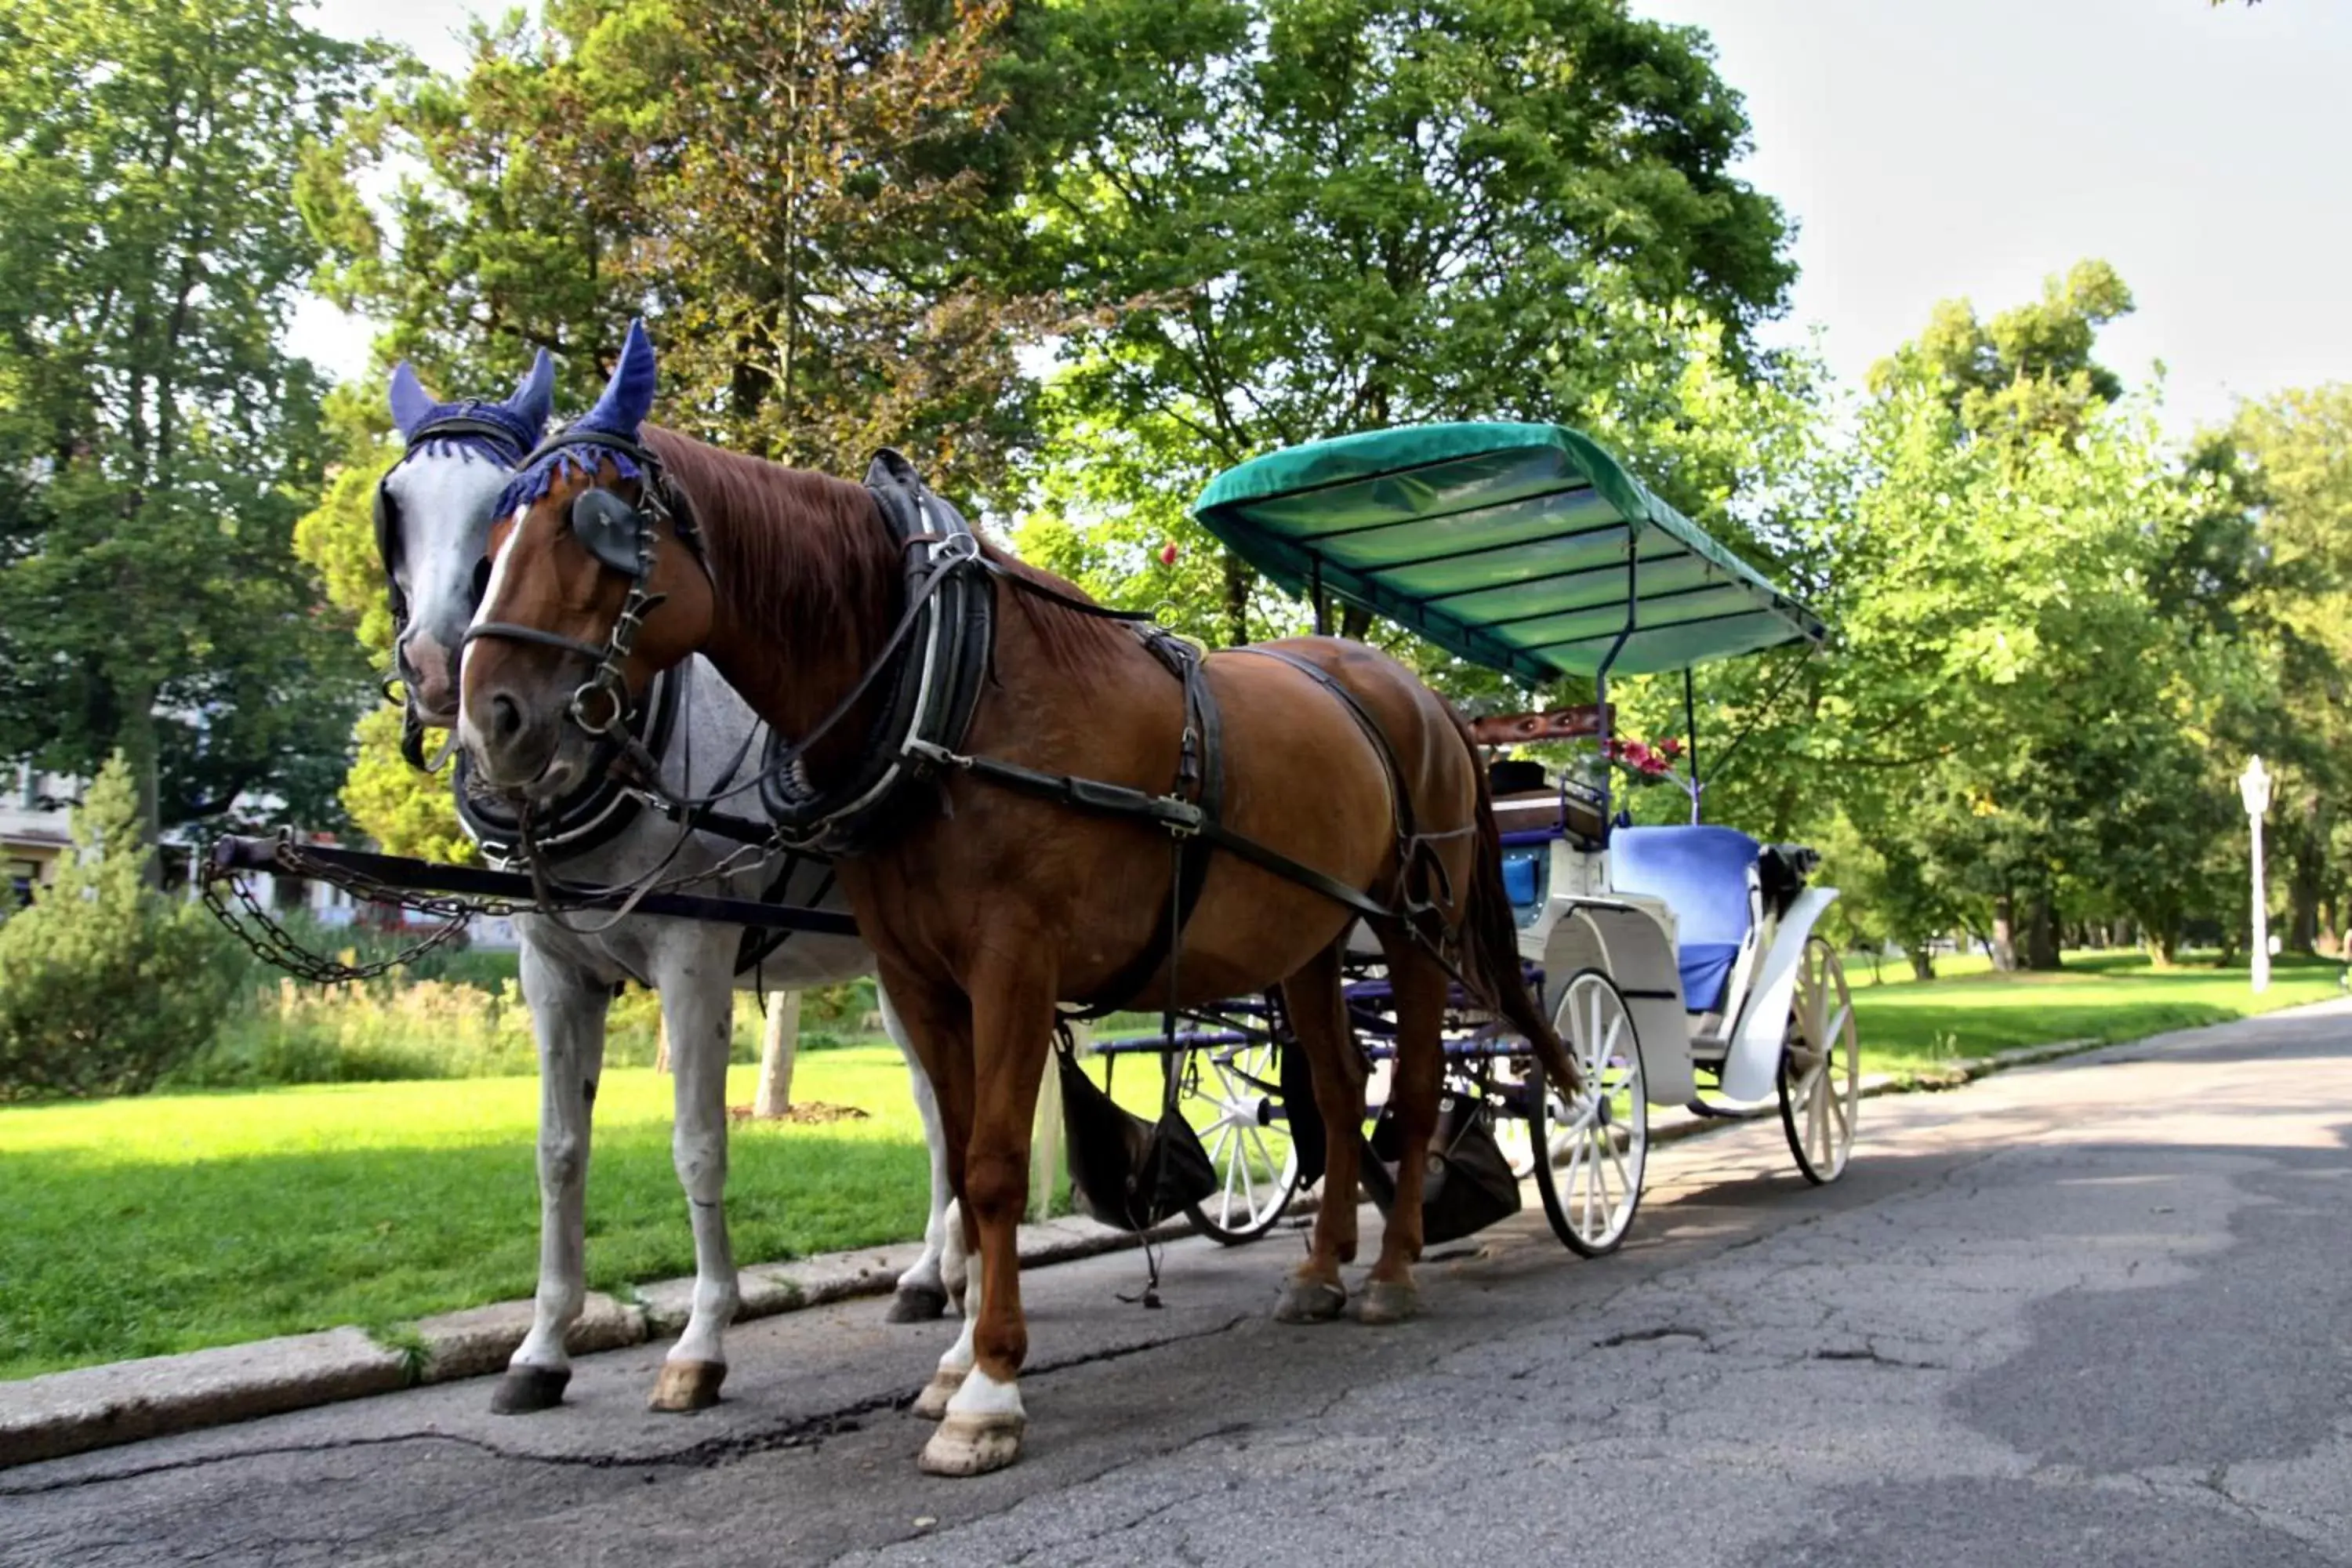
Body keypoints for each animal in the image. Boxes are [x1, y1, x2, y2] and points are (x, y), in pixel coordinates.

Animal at [374, 359, 955, 1420]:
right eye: (396, 506)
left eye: (501, 503)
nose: (446, 675)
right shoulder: (551, 964)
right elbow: (559, 1150)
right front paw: (541, 1347)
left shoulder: (694, 951)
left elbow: (697, 1140)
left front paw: (702, 1338)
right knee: (941, 1105)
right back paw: (936, 1275)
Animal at [459, 324, 1581, 1476]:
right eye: (492, 533)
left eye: (595, 526)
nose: (489, 717)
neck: (949, 693)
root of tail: (1422, 695)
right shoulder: (917, 975)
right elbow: (957, 1160)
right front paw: (957, 1362)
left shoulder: (1013, 962)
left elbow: (995, 1166)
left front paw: (990, 1388)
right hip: (1310, 937)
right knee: (1341, 1081)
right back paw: (1319, 1270)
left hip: (1412, 931)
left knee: (1413, 1090)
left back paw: (1393, 1271)